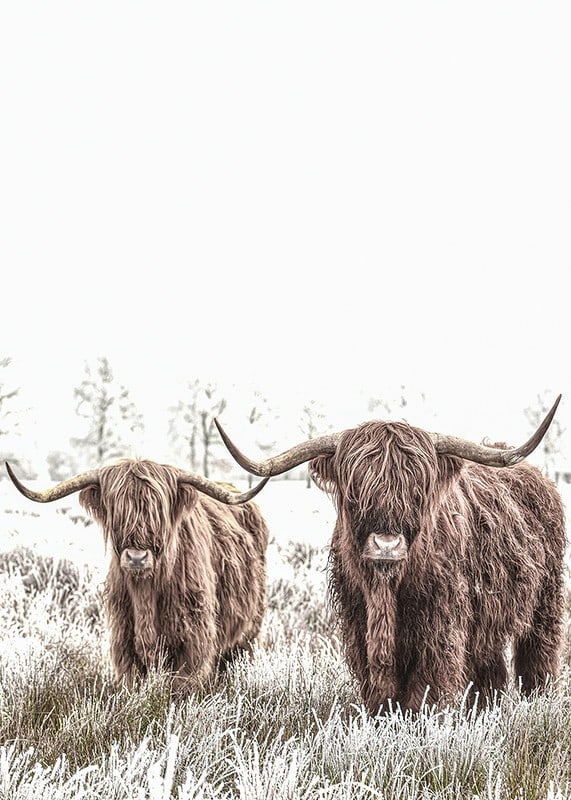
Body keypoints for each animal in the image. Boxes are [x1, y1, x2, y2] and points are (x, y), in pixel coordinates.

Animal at [5, 459, 270, 691]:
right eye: (117, 512)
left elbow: (183, 686)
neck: (146, 593)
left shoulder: (193, 640)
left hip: (249, 631)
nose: (136, 557)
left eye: (158, 512)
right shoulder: (124, 640)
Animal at [214, 396, 566, 714]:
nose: (386, 545)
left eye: (417, 490)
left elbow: (425, 689)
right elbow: (379, 689)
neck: (386, 590)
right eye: (355, 491)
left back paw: (536, 700)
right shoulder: (359, 626)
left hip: (546, 600)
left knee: (538, 654)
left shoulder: (440, 628)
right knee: (490, 667)